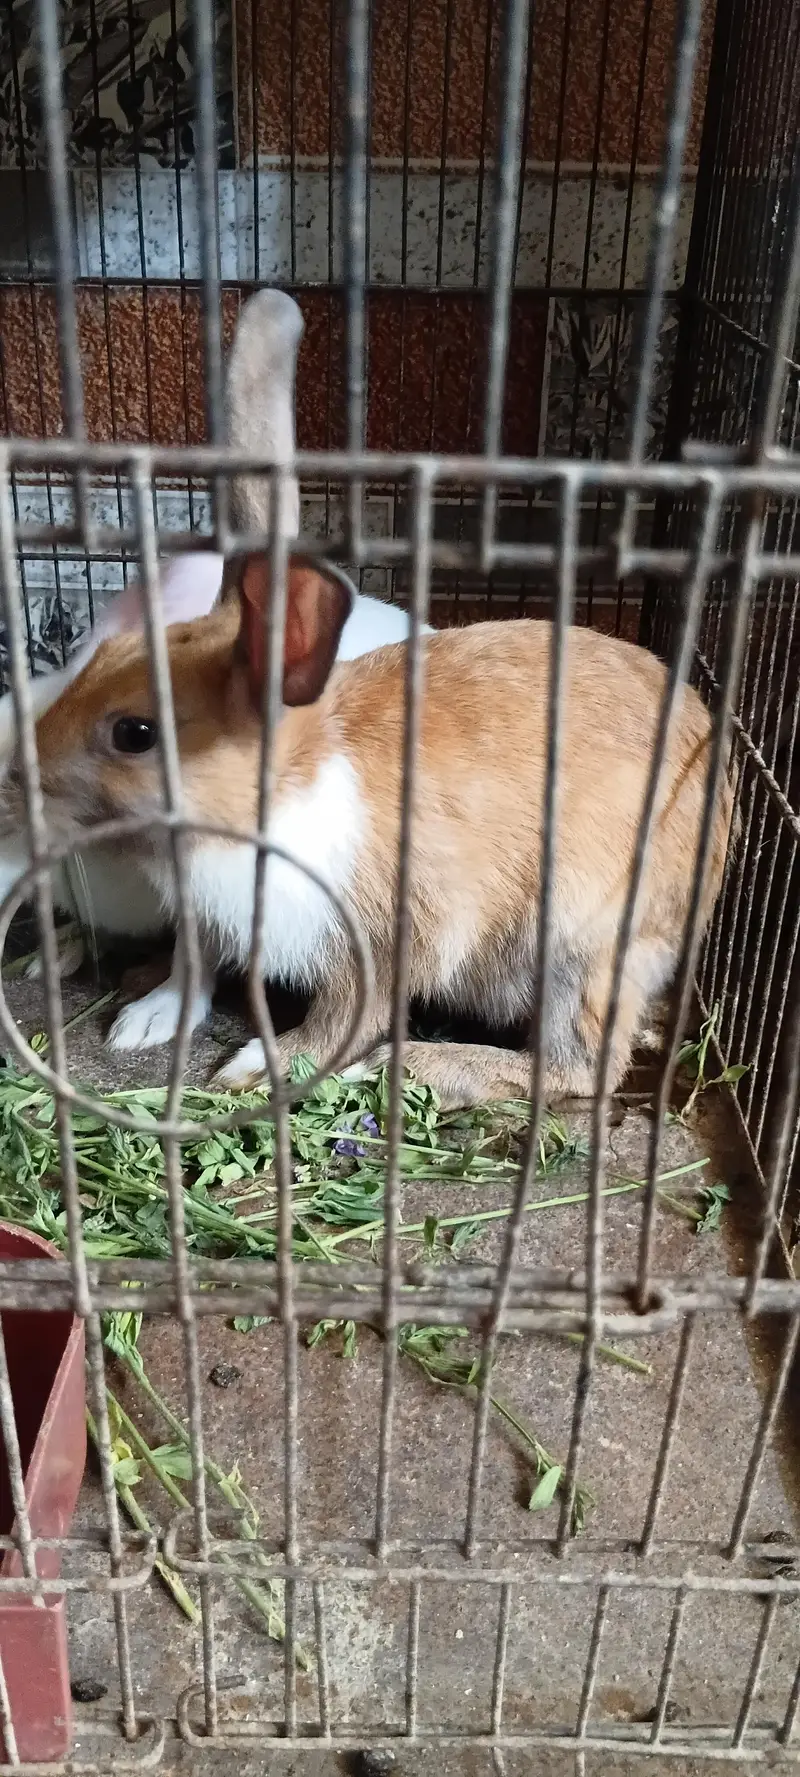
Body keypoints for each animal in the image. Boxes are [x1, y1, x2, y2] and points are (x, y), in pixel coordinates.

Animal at [3, 315, 733, 1109]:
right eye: (102, 654)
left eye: (135, 733)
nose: (17, 776)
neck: (274, 798)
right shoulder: (209, 921)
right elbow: (190, 971)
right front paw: (145, 1021)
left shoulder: (383, 940)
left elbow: (346, 1017)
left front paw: (260, 1066)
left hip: (579, 948)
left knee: (578, 1067)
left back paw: (422, 1065)